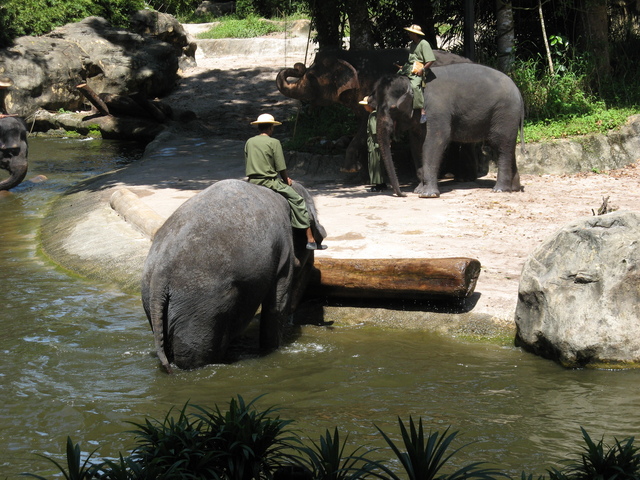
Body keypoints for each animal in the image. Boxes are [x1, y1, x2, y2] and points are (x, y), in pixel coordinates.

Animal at [141, 178, 327, 372]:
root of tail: (159, 276)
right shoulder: (284, 252)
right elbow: (277, 303)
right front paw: (273, 349)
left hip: (154, 300)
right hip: (199, 305)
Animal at [368, 63, 525, 197]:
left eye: (392, 108)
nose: (403, 194)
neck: (413, 82)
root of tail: (519, 92)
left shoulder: (437, 110)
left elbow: (434, 142)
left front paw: (427, 195)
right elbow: (416, 146)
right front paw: (418, 190)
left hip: (505, 113)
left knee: (501, 146)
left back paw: (500, 190)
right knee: (508, 146)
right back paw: (514, 188)